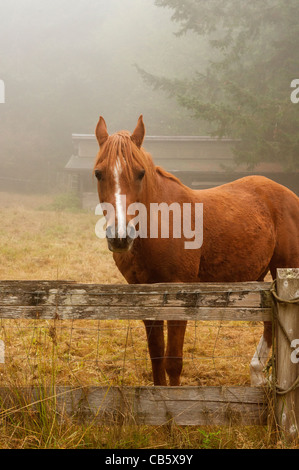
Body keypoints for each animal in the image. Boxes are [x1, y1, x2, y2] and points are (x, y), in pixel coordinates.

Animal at [94, 115, 299, 388]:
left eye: (140, 173)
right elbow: (156, 358)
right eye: (98, 173)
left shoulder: (179, 294)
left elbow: (172, 362)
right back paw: (257, 373)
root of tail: (289, 195)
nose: (119, 236)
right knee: (269, 322)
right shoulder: (144, 296)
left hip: (283, 270)